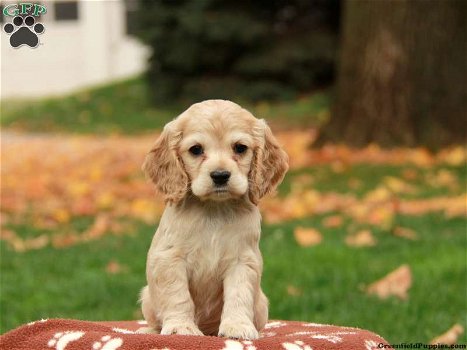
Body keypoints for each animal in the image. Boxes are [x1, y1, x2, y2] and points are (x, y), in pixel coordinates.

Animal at [138, 99, 288, 340]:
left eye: (240, 148)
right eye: (196, 149)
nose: (220, 175)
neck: (213, 209)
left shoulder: (242, 261)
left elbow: (238, 295)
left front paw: (237, 327)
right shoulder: (170, 259)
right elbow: (177, 295)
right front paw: (181, 327)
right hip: (148, 298)